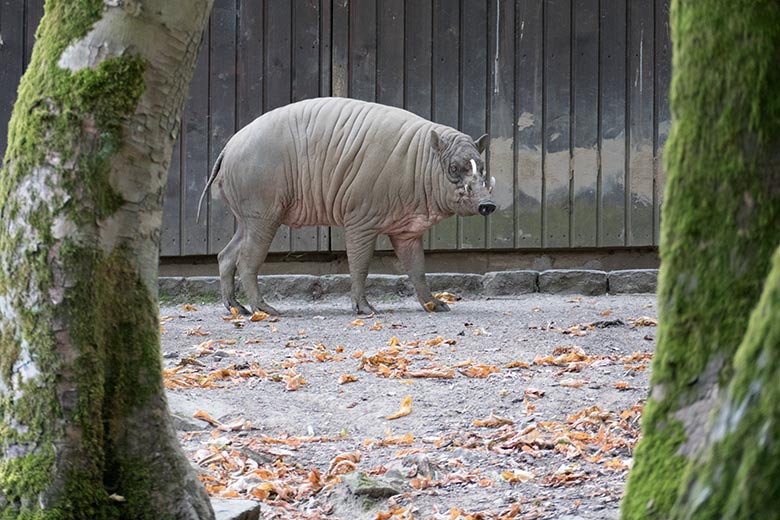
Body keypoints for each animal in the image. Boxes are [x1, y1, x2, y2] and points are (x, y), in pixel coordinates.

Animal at [198, 99, 496, 314]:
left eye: (481, 167)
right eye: (454, 168)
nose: (488, 205)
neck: (420, 163)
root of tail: (227, 148)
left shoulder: (407, 231)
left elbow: (417, 268)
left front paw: (436, 304)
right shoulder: (360, 220)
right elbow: (360, 264)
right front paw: (364, 308)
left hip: (246, 218)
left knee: (226, 255)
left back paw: (236, 308)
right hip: (263, 214)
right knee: (247, 260)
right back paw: (264, 309)